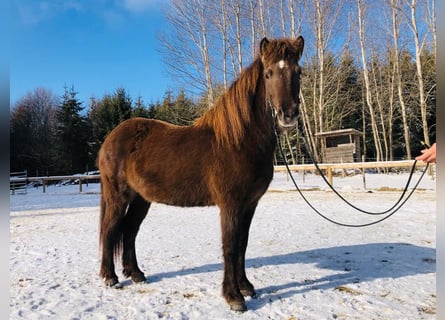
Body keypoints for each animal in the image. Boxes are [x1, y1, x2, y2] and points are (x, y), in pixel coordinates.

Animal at [98, 36, 302, 312]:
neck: (239, 141)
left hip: (142, 199)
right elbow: (230, 247)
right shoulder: (230, 205)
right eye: (269, 73)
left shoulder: (250, 205)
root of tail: (111, 138)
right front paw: (233, 297)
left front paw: (246, 287)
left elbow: (243, 246)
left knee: (129, 231)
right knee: (110, 229)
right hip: (118, 196)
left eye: (298, 72)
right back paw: (110, 277)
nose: (288, 115)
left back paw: (137, 274)